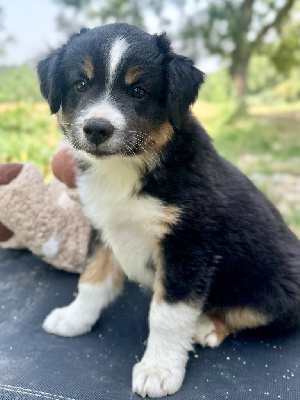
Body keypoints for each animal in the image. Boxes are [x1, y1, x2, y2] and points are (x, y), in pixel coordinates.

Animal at [38, 24, 300, 396]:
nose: (97, 128)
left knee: (257, 314)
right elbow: (92, 279)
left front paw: (158, 370)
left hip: (278, 289)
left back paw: (206, 326)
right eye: (81, 84)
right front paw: (74, 318)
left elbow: (167, 315)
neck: (125, 168)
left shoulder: (188, 246)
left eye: (139, 90)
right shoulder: (103, 228)